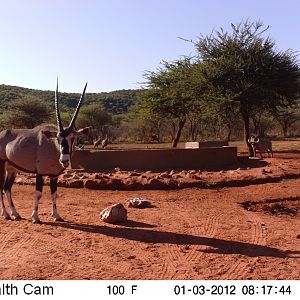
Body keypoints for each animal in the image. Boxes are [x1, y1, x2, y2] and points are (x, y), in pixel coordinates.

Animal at [0, 79, 89, 223]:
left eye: (73, 138)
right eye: (58, 138)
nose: (64, 160)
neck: (52, 147)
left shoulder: (54, 176)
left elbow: (54, 193)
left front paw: (57, 215)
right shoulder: (40, 173)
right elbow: (38, 193)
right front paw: (35, 217)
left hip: (12, 169)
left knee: (7, 188)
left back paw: (16, 213)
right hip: (2, 165)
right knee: (1, 187)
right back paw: (6, 214)